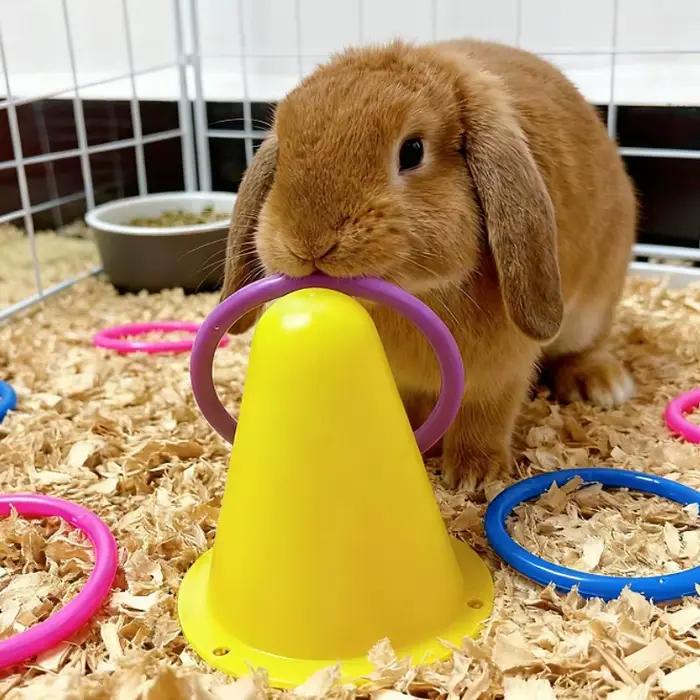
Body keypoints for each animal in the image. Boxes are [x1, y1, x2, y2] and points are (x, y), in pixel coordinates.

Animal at [220, 39, 636, 489]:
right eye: (282, 153)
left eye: (413, 151)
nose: (309, 243)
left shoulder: (499, 372)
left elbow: (485, 415)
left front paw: (474, 476)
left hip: (591, 311)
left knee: (584, 348)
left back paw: (602, 385)